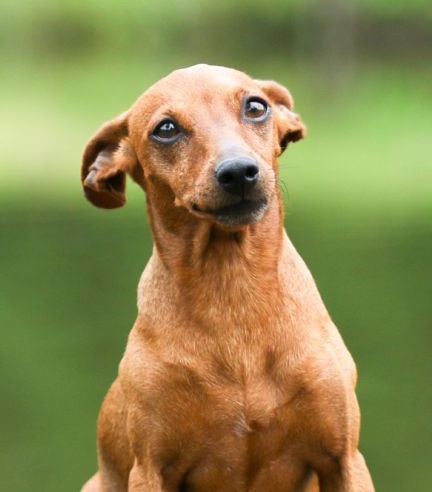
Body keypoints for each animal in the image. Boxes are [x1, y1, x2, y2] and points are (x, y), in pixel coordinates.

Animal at [80, 65, 374, 492]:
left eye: (256, 106)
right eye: (166, 128)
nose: (238, 172)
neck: (232, 289)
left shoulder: (344, 460)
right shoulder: (150, 469)